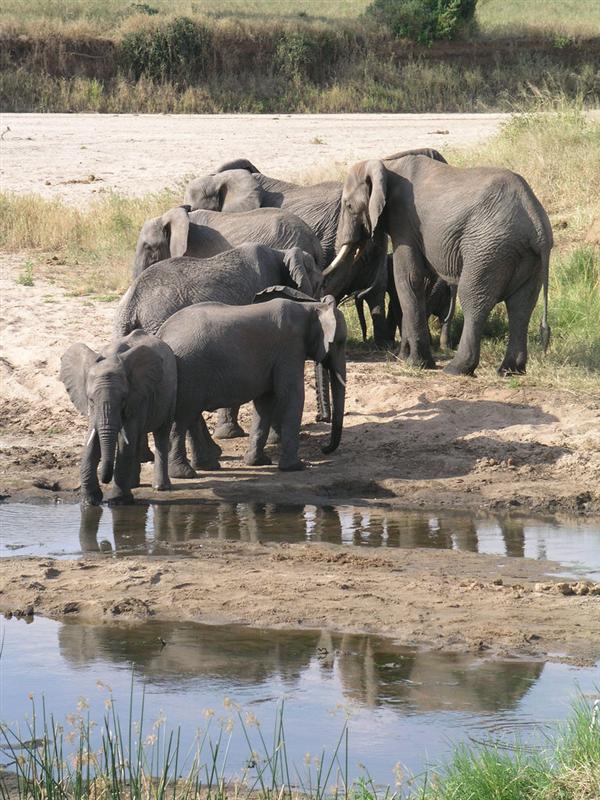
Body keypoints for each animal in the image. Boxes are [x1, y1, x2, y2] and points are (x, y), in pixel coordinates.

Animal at [60, 330, 177, 506]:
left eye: (123, 399)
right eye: (91, 400)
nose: (105, 480)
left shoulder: (137, 394)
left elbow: (124, 441)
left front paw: (117, 501)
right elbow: (92, 440)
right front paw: (89, 501)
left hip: (170, 393)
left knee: (161, 435)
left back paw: (160, 488)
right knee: (137, 438)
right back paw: (134, 485)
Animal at [157, 289, 347, 476]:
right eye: (340, 342)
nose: (324, 449)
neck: (311, 307)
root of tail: (162, 335)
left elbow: (265, 402)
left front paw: (257, 462)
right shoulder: (290, 348)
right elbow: (292, 396)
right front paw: (295, 467)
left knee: (191, 415)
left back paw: (206, 467)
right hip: (189, 368)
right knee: (182, 419)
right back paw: (184, 473)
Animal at [326, 152, 553, 375]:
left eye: (348, 206)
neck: (386, 163)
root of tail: (536, 219)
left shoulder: (404, 220)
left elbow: (408, 278)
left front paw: (416, 363)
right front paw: (406, 358)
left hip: (488, 249)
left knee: (474, 299)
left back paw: (456, 369)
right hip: (526, 256)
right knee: (521, 306)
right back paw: (510, 371)